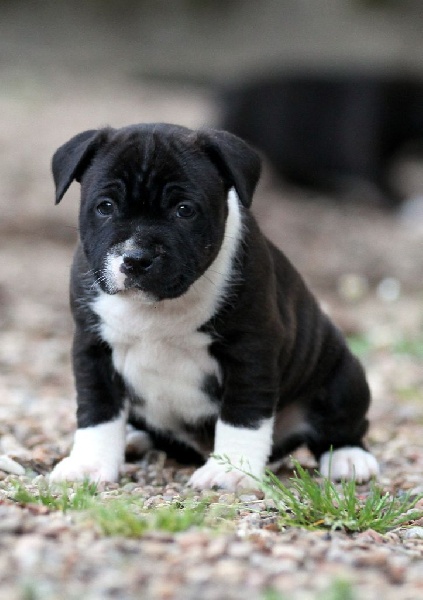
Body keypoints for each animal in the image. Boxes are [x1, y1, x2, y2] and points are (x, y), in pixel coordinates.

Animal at [50, 123, 378, 490]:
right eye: (105, 207)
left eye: (184, 210)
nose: (135, 258)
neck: (157, 307)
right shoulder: (93, 349)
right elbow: (99, 410)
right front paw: (89, 464)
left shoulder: (250, 350)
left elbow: (242, 414)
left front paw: (230, 470)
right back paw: (135, 437)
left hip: (342, 375)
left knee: (341, 424)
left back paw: (349, 458)